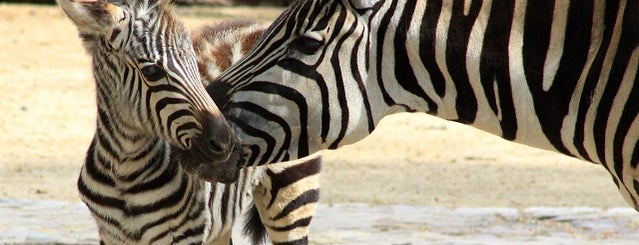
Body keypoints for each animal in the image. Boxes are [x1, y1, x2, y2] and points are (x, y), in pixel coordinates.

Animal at [59, 0, 320, 244]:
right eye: (152, 72)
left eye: (195, 64)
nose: (227, 143)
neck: (124, 172)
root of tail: (258, 25)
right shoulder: (110, 234)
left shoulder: (187, 233)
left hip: (293, 196)